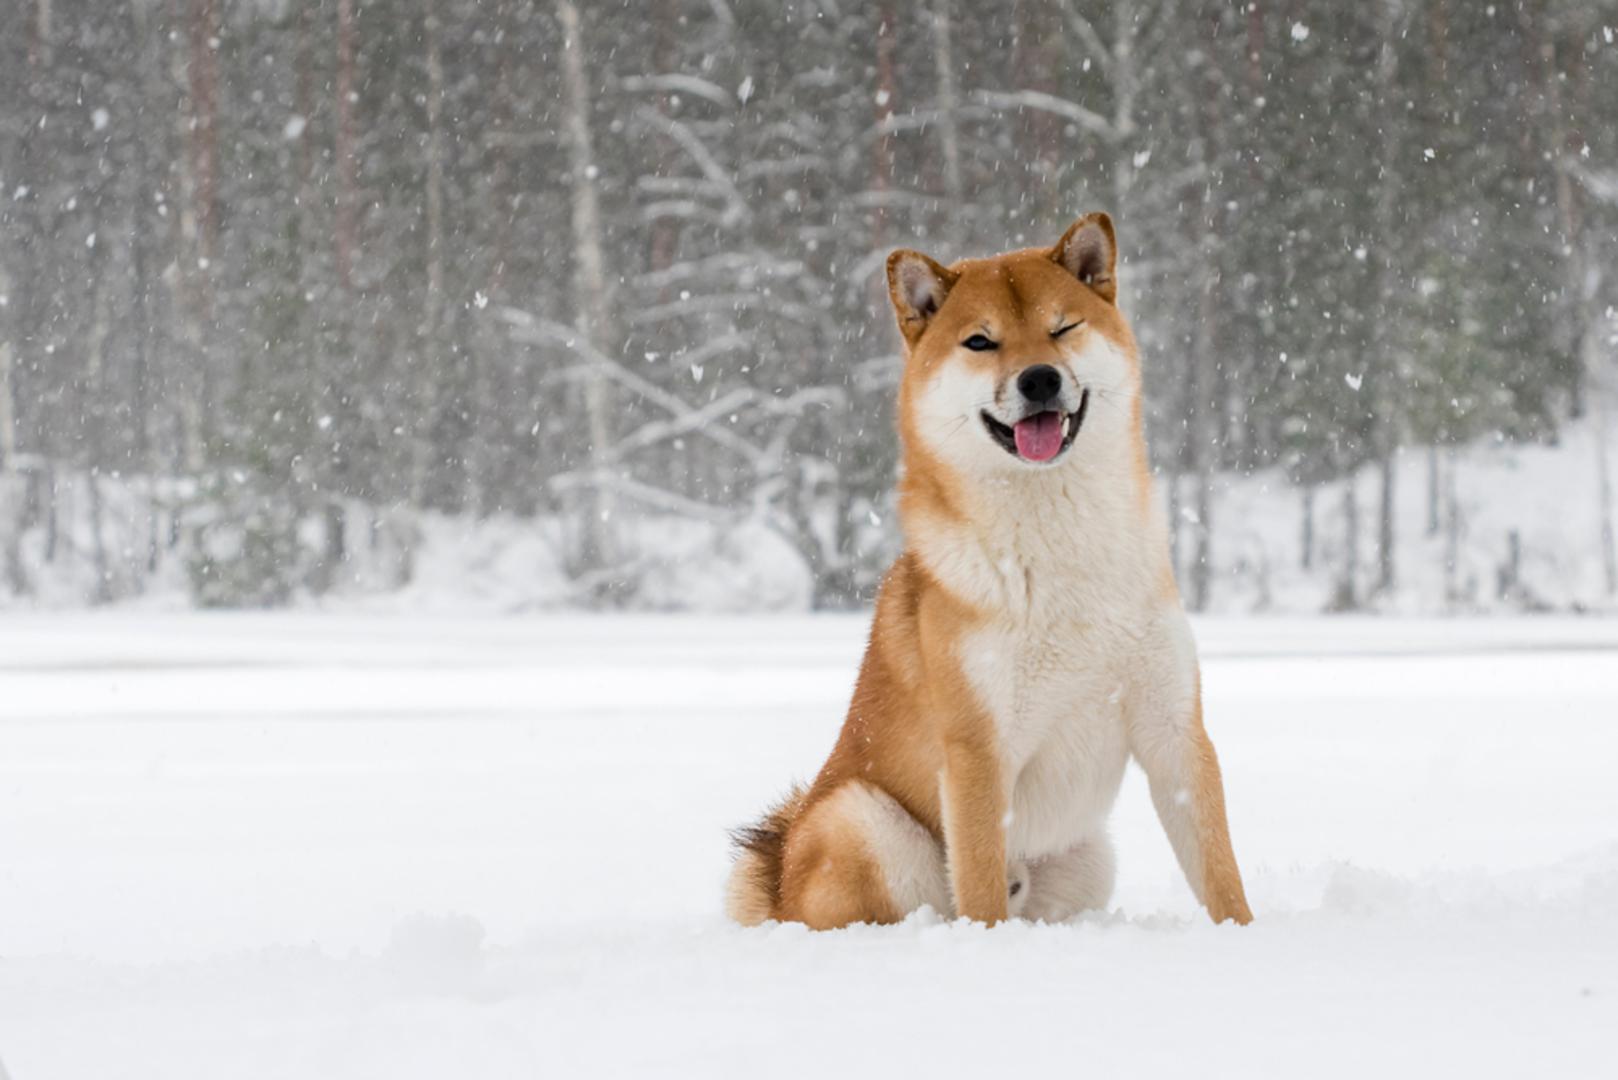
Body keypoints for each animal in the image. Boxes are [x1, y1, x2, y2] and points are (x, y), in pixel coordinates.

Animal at [731, 216, 1249, 932]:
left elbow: (1221, 872)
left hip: (1088, 859)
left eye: (1063, 327)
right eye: (981, 341)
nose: (1039, 380)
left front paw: (1244, 935)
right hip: (863, 818)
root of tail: (776, 889)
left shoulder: (1173, 728)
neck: (1061, 548)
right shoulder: (978, 753)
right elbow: (978, 888)